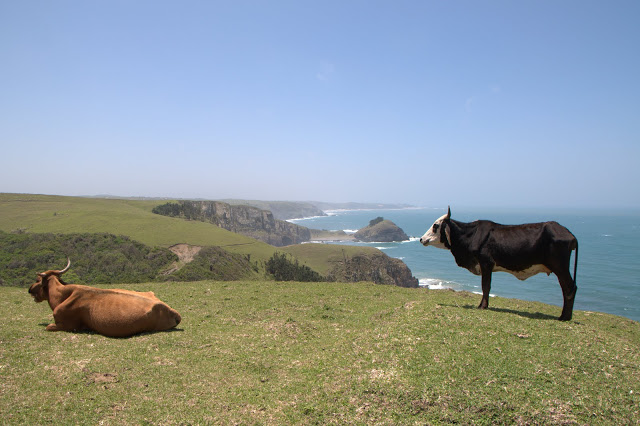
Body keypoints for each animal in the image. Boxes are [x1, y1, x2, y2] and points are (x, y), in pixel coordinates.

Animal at [28, 259, 182, 337]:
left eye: (37, 280)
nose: (29, 289)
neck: (62, 295)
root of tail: (172, 311)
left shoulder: (68, 325)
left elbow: (48, 326)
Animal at [420, 207, 579, 321]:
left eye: (435, 225)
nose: (421, 239)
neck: (470, 235)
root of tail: (569, 234)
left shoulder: (486, 263)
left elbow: (486, 286)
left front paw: (482, 306)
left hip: (560, 267)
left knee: (569, 288)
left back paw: (564, 317)